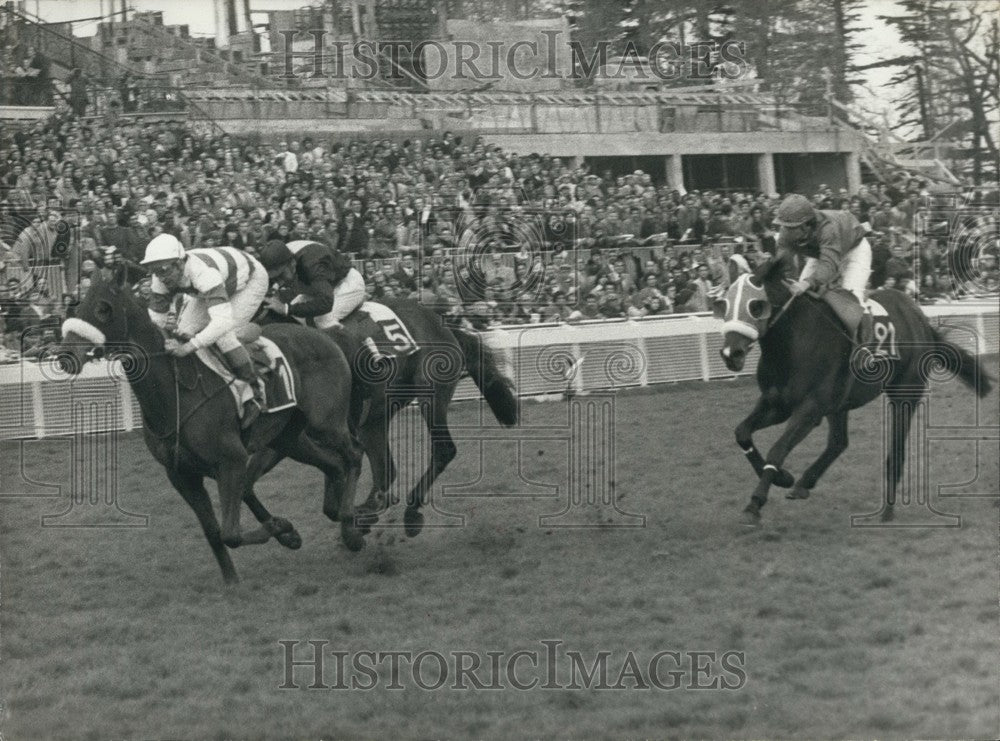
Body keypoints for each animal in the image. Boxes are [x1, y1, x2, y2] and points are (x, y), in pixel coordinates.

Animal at [720, 260, 992, 528]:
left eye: (756, 306)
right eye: (724, 304)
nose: (730, 354)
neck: (793, 345)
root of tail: (918, 316)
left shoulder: (810, 409)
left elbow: (778, 449)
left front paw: (754, 504)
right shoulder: (776, 404)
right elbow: (741, 433)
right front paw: (784, 478)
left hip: (904, 394)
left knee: (895, 451)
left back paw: (887, 511)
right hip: (839, 403)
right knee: (839, 442)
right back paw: (804, 484)